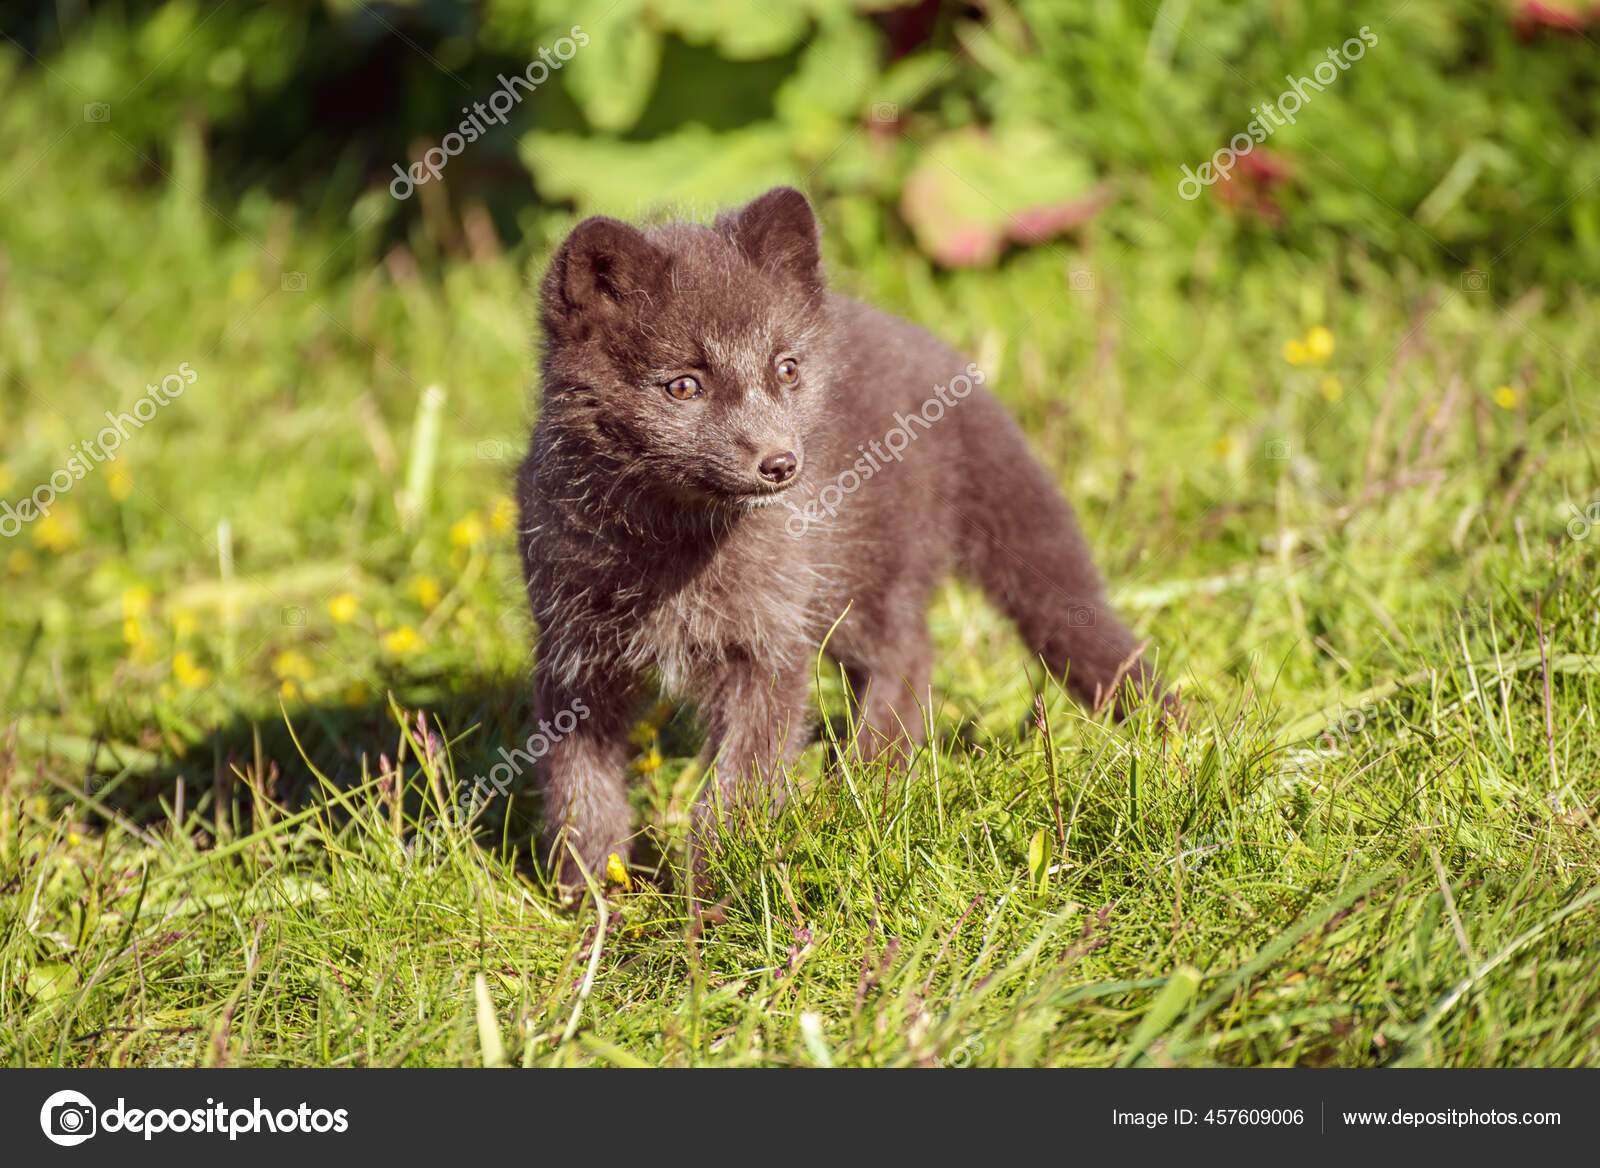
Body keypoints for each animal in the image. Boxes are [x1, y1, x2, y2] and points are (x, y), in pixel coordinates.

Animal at [518, 186, 1163, 892]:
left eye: (786, 369)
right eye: (683, 385)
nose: (780, 464)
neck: (670, 547)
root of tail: (942, 358)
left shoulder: (770, 647)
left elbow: (736, 784)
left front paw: (715, 891)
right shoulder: (572, 657)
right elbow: (580, 789)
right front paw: (590, 896)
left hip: (865, 584)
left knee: (912, 656)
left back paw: (870, 783)